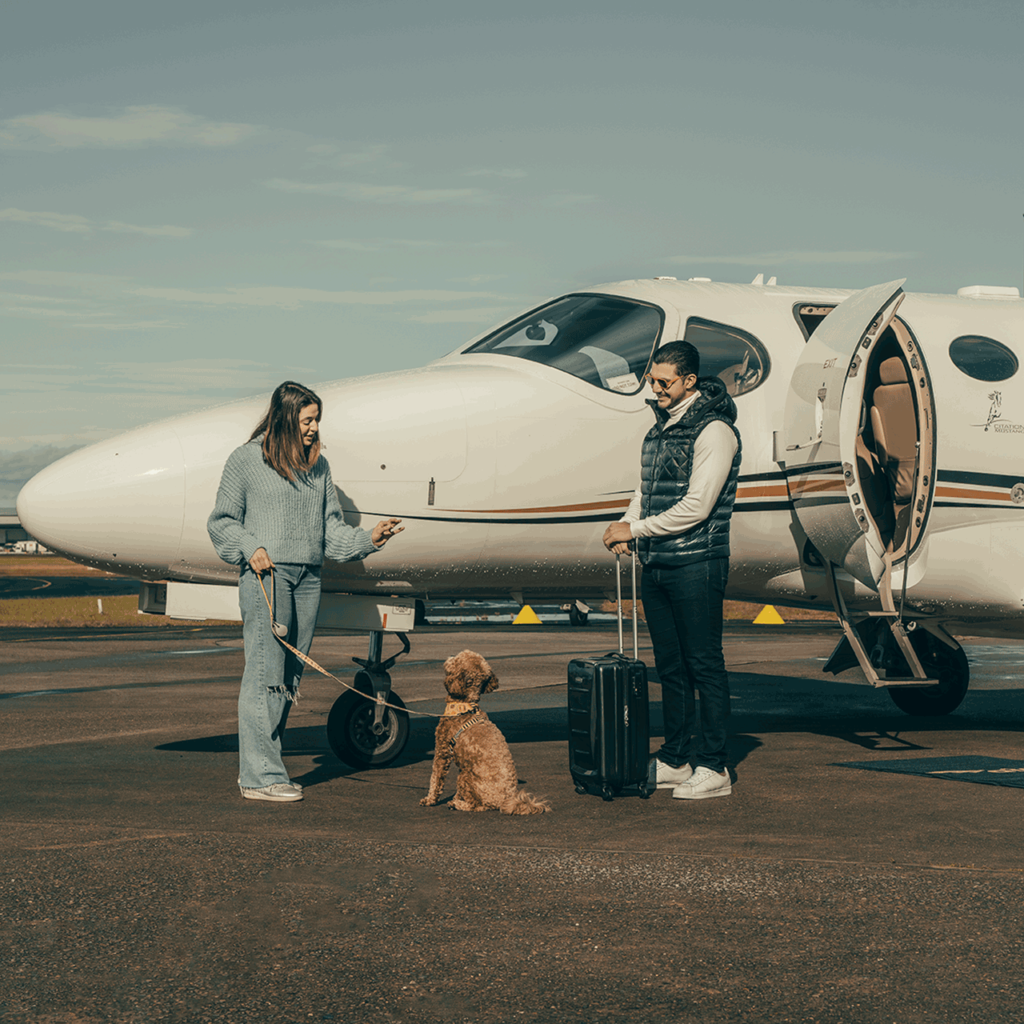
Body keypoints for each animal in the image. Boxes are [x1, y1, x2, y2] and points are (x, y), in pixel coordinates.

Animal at [417, 651, 552, 811]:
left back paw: (458, 805)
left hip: (466, 776)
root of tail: (506, 800)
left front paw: (430, 799)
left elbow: (435, 779)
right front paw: (454, 798)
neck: (465, 704)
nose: (449, 657)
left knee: (476, 805)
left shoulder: (442, 750)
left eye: (456, 659)